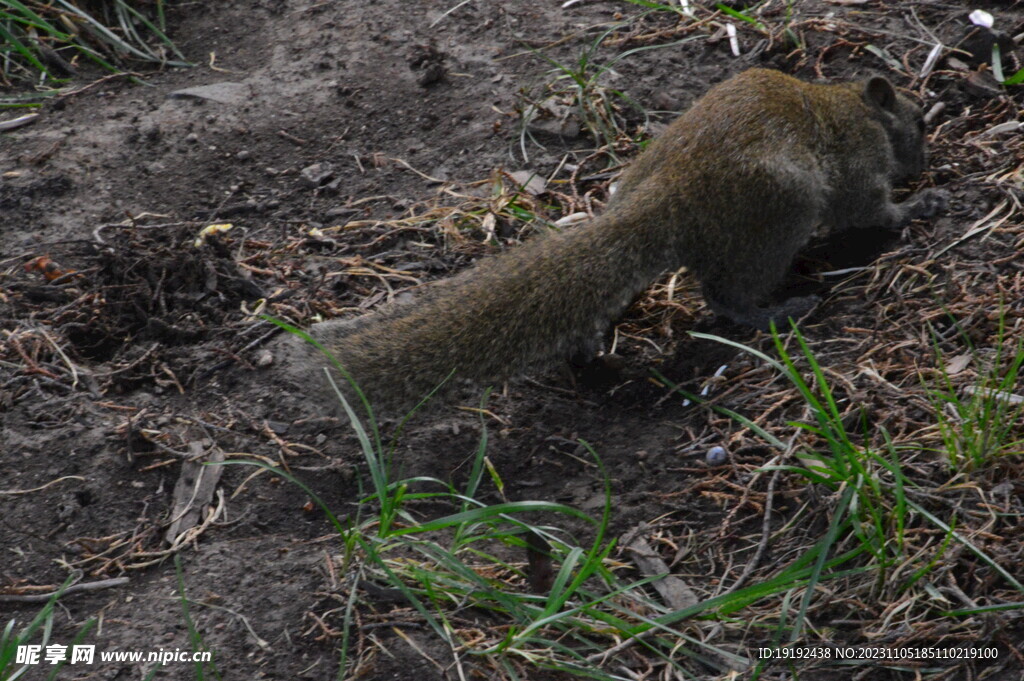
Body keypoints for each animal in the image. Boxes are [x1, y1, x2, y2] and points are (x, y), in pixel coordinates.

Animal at [282, 66, 950, 411]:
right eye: (920, 121)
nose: (922, 162)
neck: (851, 105)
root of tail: (665, 198)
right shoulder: (859, 163)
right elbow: (869, 210)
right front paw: (917, 205)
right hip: (781, 208)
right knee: (726, 295)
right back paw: (781, 310)